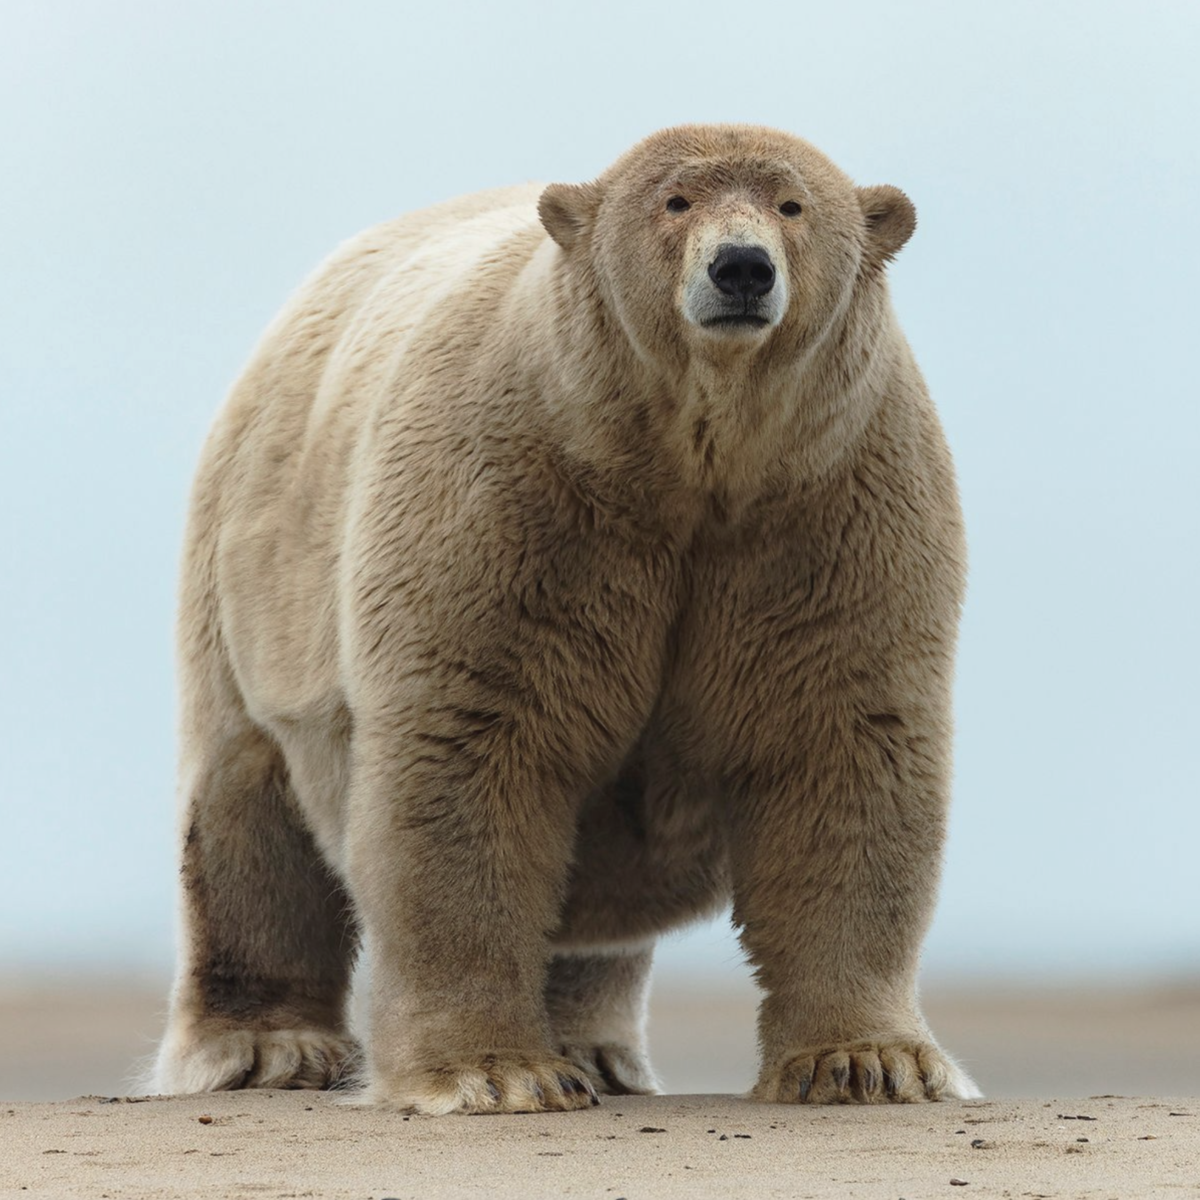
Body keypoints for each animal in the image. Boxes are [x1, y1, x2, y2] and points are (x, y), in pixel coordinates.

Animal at [150, 126, 979, 1108]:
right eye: (675, 201)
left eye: (792, 204)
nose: (741, 268)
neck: (687, 463)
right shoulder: (514, 498)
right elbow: (472, 749)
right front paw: (493, 1072)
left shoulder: (828, 509)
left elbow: (841, 751)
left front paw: (869, 1062)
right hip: (252, 568)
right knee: (245, 808)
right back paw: (267, 1048)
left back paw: (597, 1049)